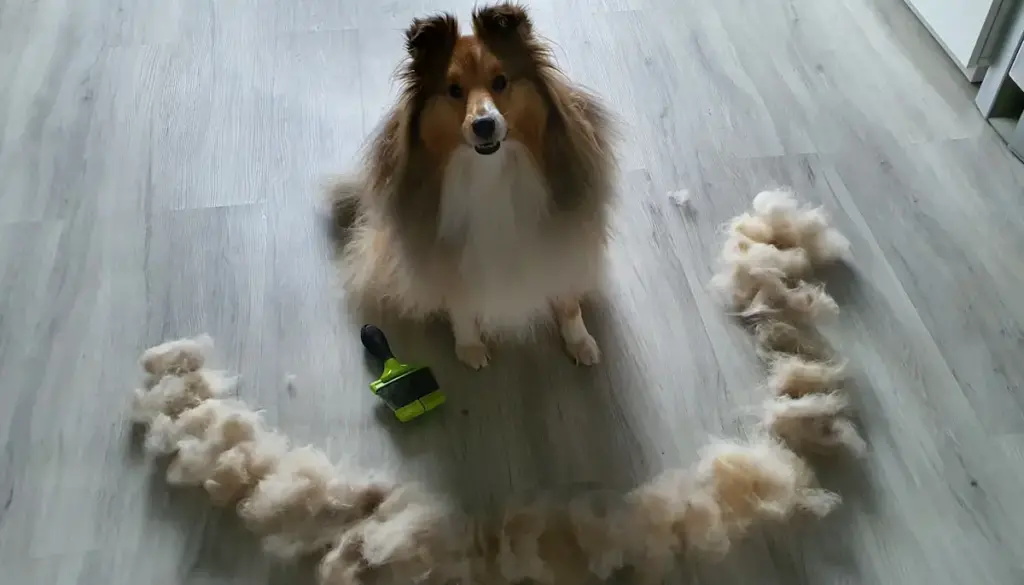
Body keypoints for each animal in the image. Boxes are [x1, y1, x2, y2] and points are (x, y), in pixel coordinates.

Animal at [329, 3, 614, 370]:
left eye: (501, 81)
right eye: (453, 90)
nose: (484, 125)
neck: (489, 170)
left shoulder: (559, 235)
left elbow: (566, 298)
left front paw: (580, 342)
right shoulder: (443, 249)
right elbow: (460, 301)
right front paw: (470, 347)